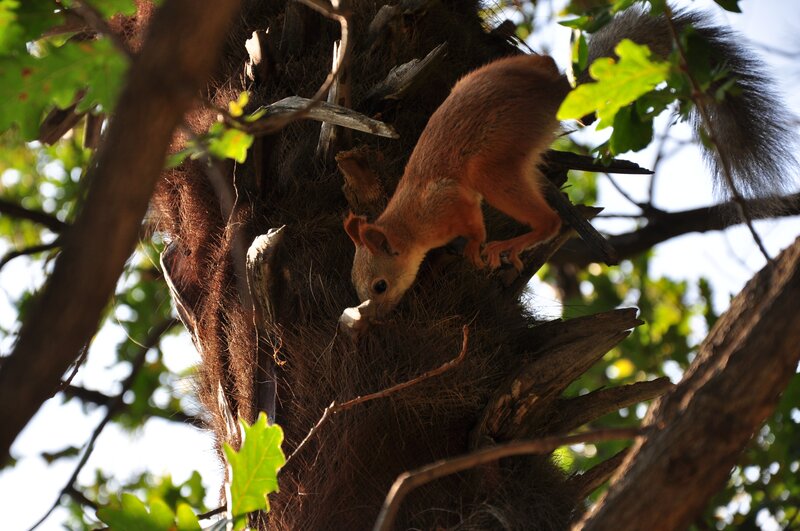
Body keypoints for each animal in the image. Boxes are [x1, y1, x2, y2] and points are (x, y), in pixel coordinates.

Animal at [344, 5, 798, 316]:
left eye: (380, 286)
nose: (377, 318)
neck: (409, 217)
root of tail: (558, 93)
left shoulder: (447, 201)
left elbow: (472, 223)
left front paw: (473, 248)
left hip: (496, 162)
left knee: (550, 221)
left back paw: (509, 244)